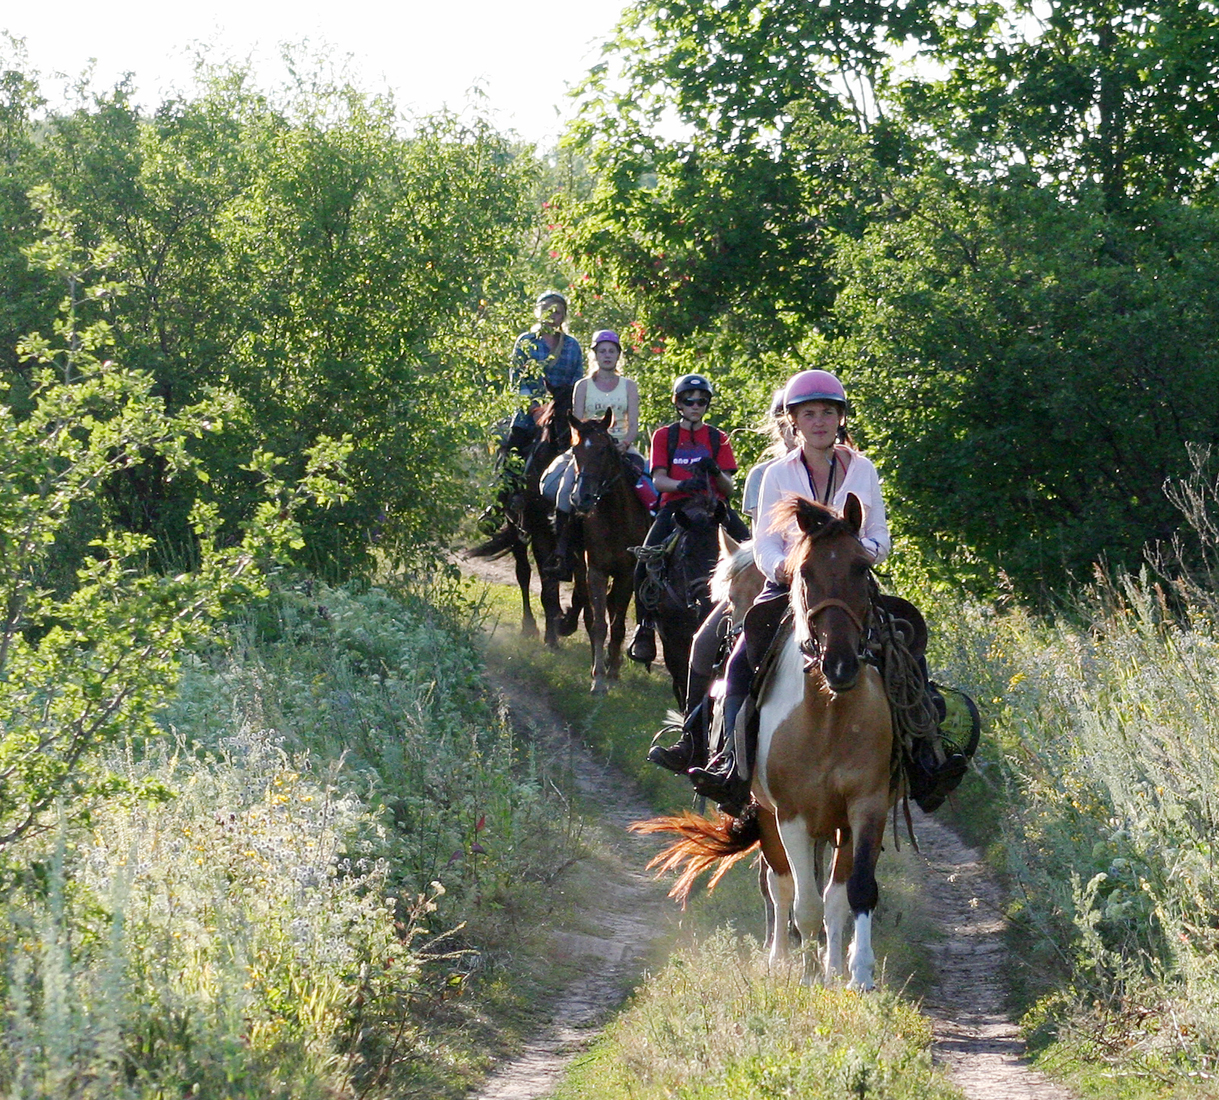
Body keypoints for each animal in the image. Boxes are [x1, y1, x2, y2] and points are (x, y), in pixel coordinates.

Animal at [565, 414, 653, 697]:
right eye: (575, 451)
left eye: (603, 450)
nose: (581, 498)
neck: (614, 516)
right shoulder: (596, 570)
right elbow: (599, 624)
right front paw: (598, 679)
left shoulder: (626, 573)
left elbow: (617, 624)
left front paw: (612, 672)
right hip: (580, 568)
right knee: (591, 612)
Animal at [633, 495, 902, 995]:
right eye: (805, 573)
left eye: (861, 567)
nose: (839, 665)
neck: (829, 712)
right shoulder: (790, 815)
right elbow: (802, 900)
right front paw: (807, 976)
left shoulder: (866, 806)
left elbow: (852, 893)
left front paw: (854, 974)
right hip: (767, 813)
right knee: (780, 884)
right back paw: (782, 958)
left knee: (824, 890)